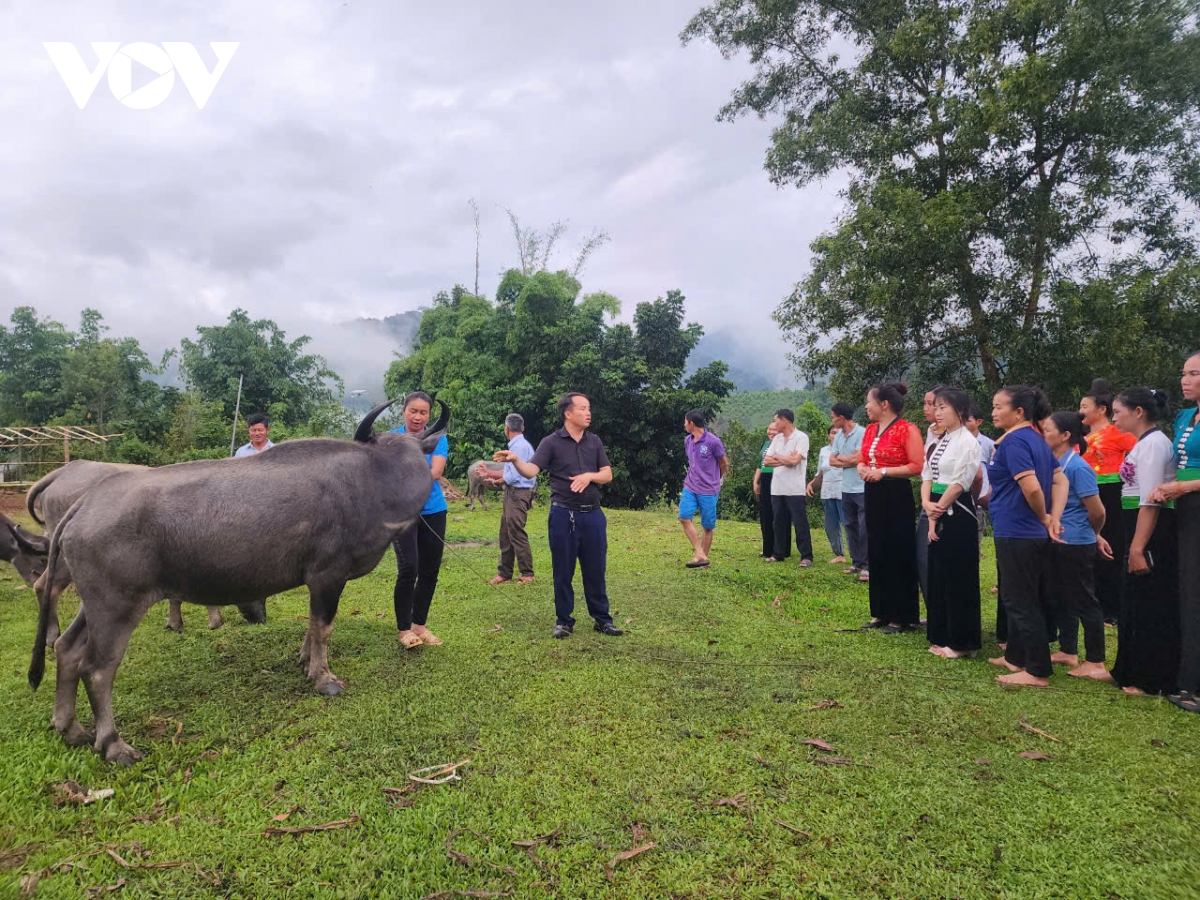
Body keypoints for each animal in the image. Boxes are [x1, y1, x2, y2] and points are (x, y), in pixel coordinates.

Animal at [23, 460, 267, 638]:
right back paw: (53, 634)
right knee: (46, 586)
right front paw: (215, 621)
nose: (261, 619)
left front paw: (175, 623)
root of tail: (64, 471)